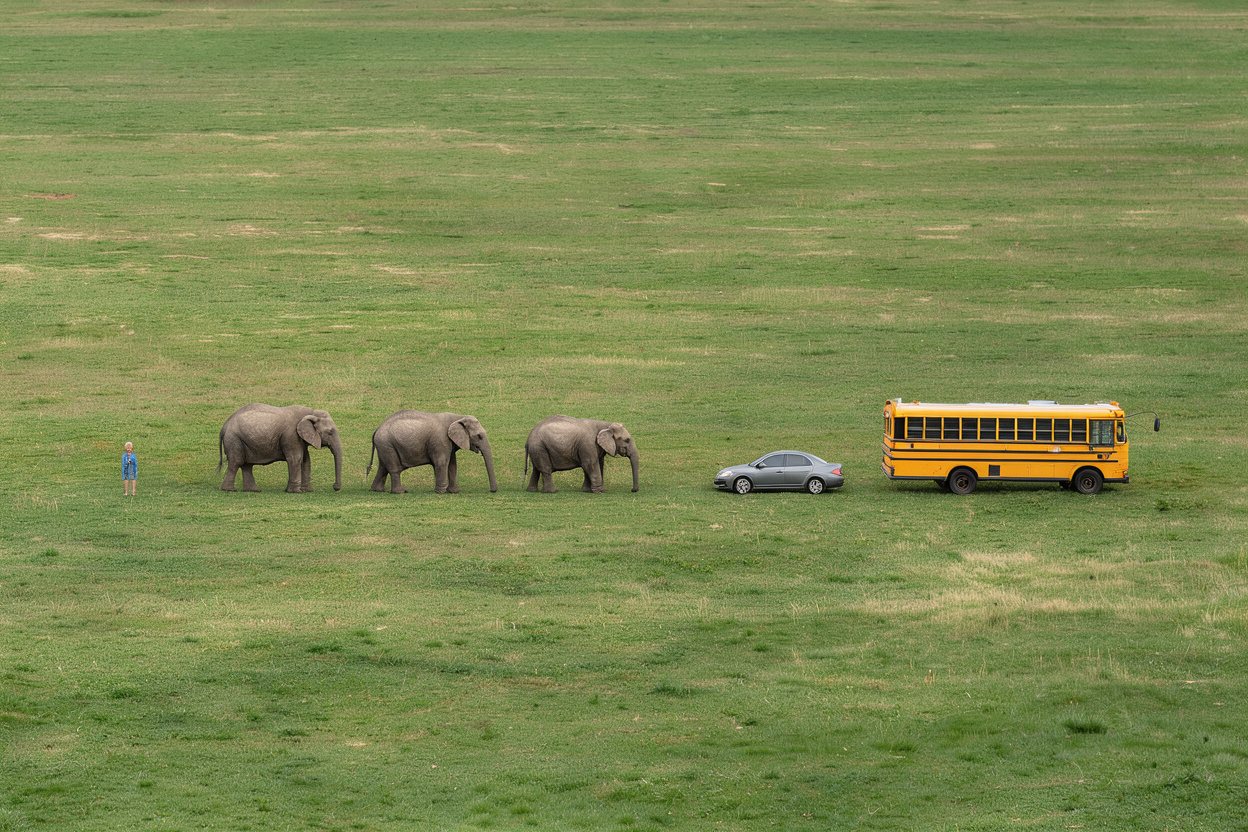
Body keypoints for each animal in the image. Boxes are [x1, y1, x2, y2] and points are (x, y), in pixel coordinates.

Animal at [368, 411, 498, 494]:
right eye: (479, 436)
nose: (493, 491)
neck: (458, 417)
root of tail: (377, 429)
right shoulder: (441, 440)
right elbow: (442, 463)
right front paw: (440, 492)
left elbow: (452, 465)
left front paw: (454, 492)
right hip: (387, 444)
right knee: (394, 469)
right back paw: (400, 492)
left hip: (385, 446)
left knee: (383, 467)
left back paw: (377, 490)